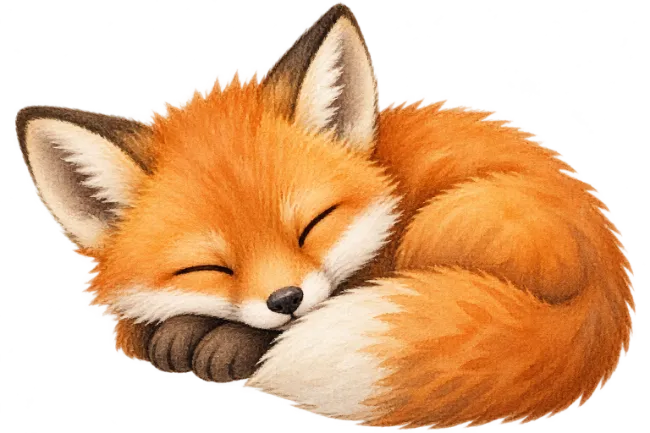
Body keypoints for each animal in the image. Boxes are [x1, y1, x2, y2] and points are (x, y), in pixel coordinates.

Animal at [14, 2, 636, 431]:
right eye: (208, 268)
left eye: (312, 225)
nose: (285, 299)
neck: (387, 173)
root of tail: (610, 296)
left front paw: (221, 344)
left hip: (449, 220)